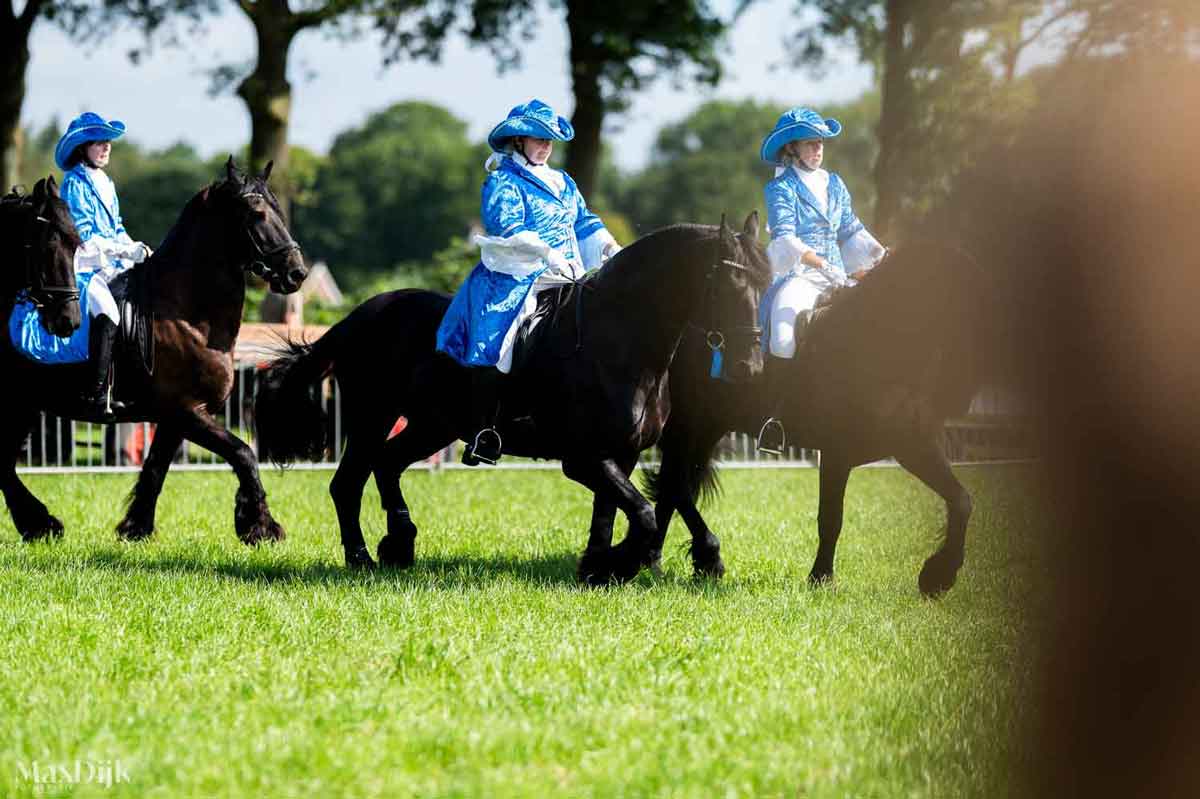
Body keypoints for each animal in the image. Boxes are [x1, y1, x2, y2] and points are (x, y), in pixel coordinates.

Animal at [1, 157, 309, 542]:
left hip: (25, 406)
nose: (297, 273)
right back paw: (40, 522)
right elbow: (243, 454)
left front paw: (136, 527)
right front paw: (260, 525)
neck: (186, 314)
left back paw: (37, 524)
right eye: (256, 214)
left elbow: (155, 469)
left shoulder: (176, 416)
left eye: (279, 209)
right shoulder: (188, 411)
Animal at [258, 211, 772, 578]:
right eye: (728, 286)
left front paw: (597, 567)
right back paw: (363, 558)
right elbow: (643, 512)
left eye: (764, 284)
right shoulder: (584, 458)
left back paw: (398, 544)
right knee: (347, 483)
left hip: (431, 426)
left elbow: (615, 511)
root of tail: (360, 315)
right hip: (372, 416)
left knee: (386, 466)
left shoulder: (620, 455)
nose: (749, 368)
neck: (619, 343)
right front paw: (622, 563)